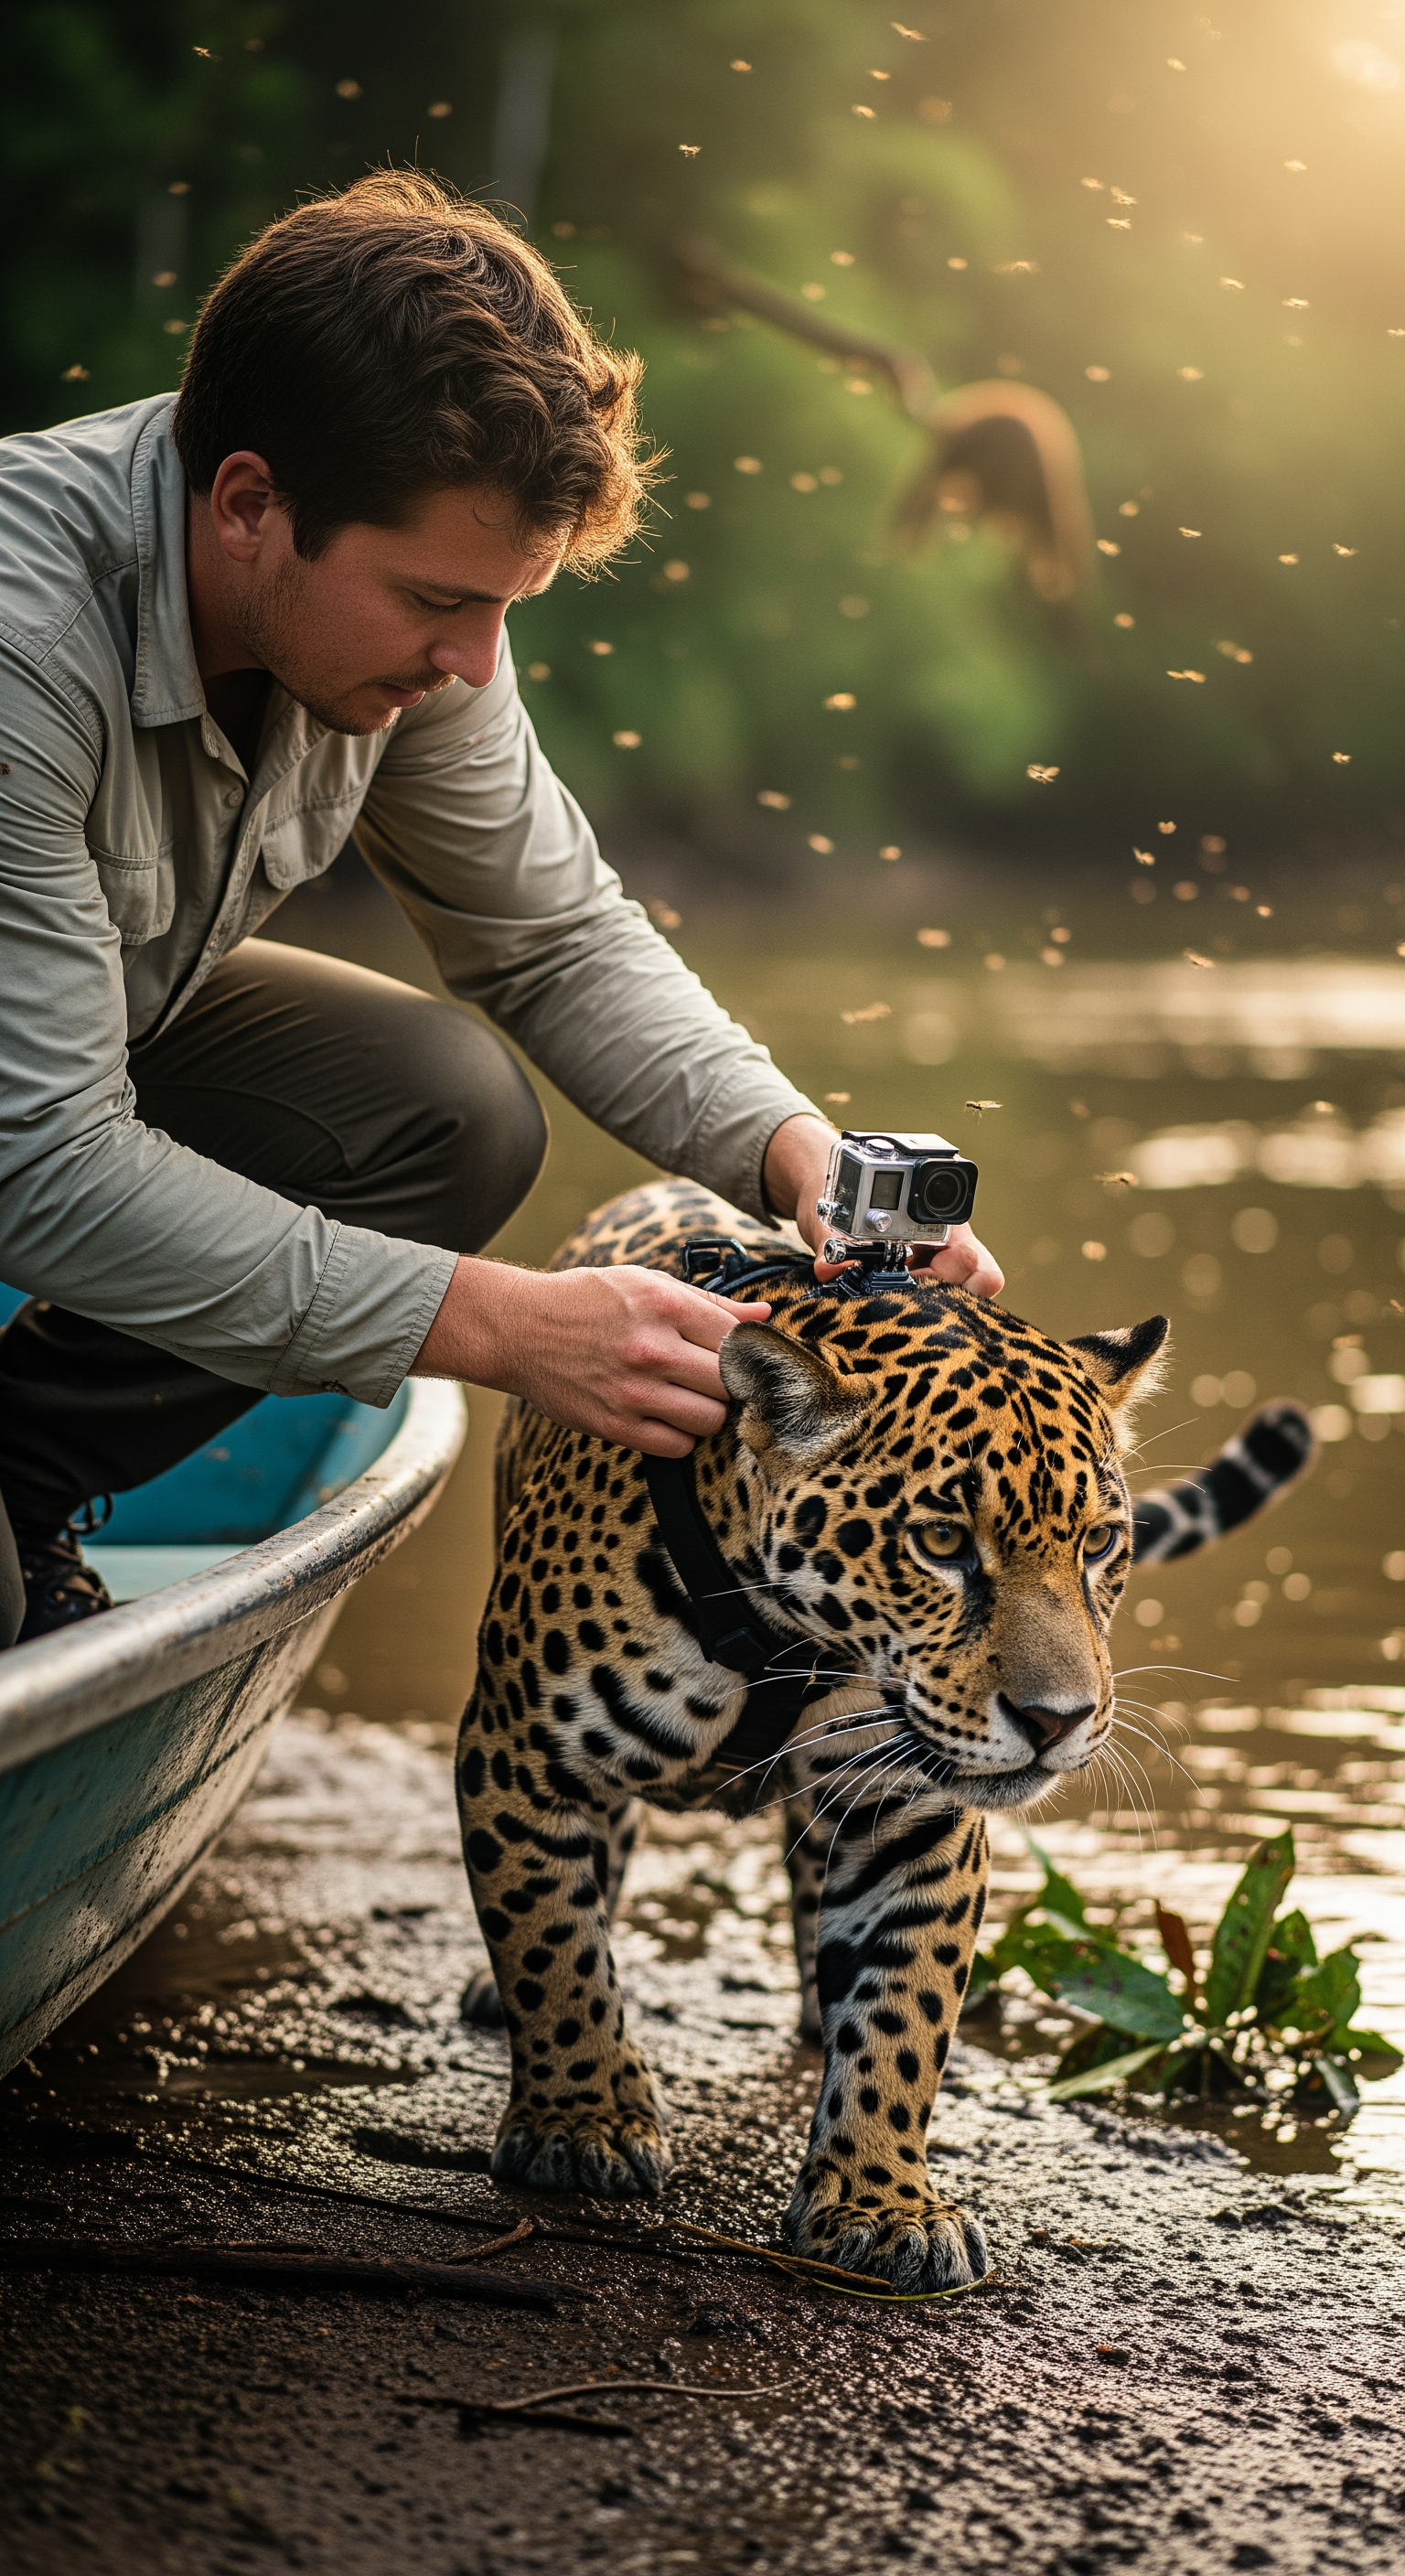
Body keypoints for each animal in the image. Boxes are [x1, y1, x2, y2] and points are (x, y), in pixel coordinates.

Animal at [455, 1177, 1313, 2292]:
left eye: (1099, 1543)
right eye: (942, 1541)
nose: (1058, 1721)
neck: (790, 1640)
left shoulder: (920, 1818)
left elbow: (906, 2015)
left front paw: (880, 2201)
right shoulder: (519, 1752)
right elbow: (552, 1939)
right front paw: (581, 2120)